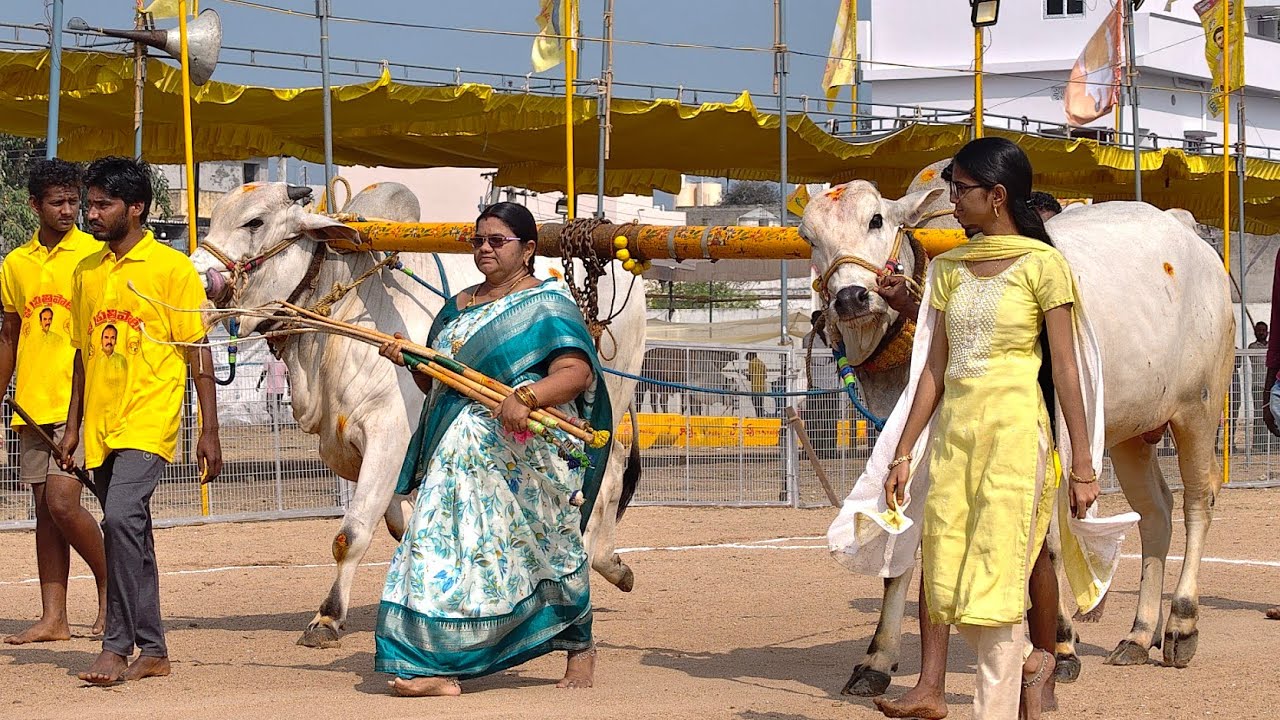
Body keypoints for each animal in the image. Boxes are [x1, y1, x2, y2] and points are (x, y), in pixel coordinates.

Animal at [192, 181, 646, 647]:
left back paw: (596, 561)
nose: (198, 282)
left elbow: (351, 533)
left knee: (606, 478)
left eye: (255, 222)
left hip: (607, 402)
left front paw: (328, 617)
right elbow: (398, 523)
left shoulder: (387, 435)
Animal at [803, 169, 1234, 694]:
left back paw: (1181, 624)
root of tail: (1186, 230)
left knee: (1198, 503)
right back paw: (1138, 634)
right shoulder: (907, 446)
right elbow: (899, 552)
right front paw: (876, 661)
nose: (850, 298)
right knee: (1157, 512)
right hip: (1132, 431)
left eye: (876, 219)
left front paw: (1061, 645)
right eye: (808, 237)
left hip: (1198, 408)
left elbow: (1047, 544)